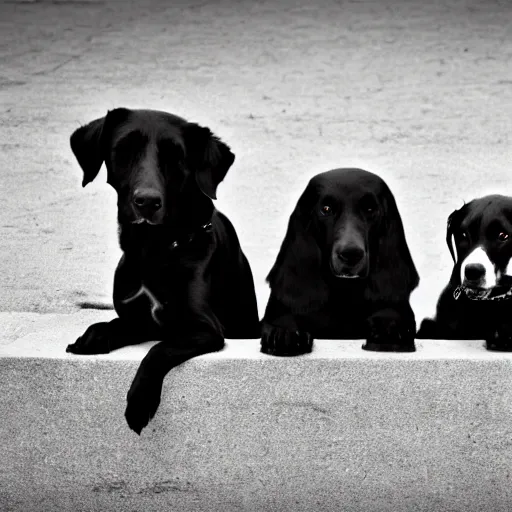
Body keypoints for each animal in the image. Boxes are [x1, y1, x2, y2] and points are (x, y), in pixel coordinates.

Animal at [67, 108, 260, 432]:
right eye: (125, 149)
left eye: (175, 157)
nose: (146, 201)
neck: (153, 249)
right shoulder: (139, 319)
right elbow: (115, 324)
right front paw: (95, 335)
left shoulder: (205, 328)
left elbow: (159, 349)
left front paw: (140, 400)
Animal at [262, 170, 418, 354]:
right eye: (326, 209)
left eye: (370, 209)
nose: (351, 254)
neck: (344, 290)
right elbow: (281, 321)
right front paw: (284, 334)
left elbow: (393, 314)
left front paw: (390, 328)